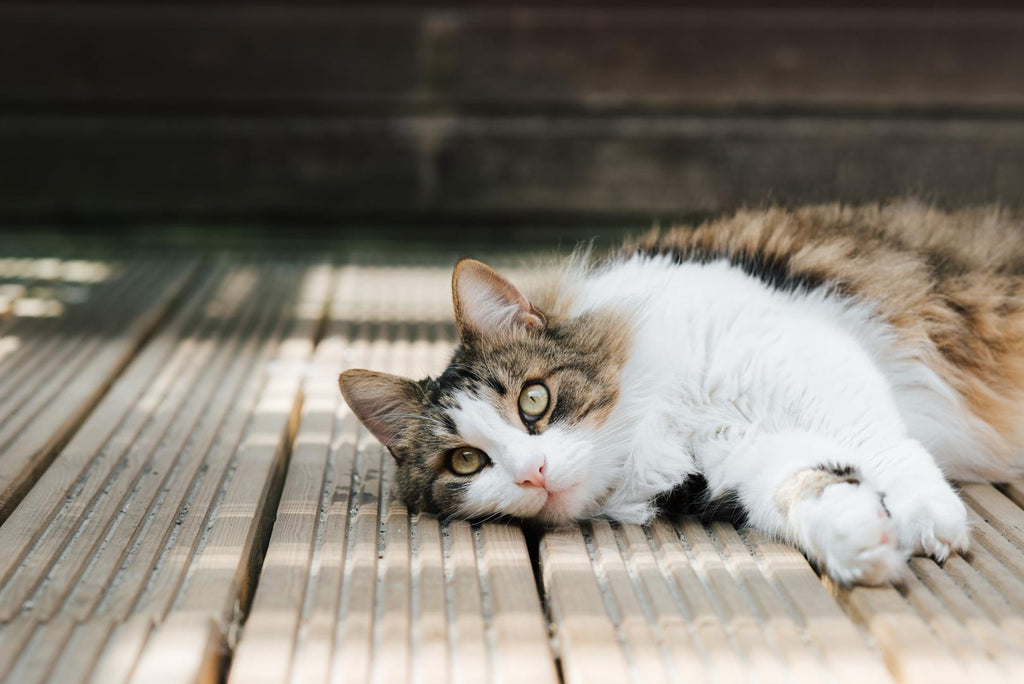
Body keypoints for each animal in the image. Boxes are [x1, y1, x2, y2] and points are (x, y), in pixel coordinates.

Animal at [337, 200, 1024, 585]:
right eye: (465, 461)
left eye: (534, 401)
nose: (533, 472)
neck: (660, 423)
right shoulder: (741, 464)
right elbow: (807, 488)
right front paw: (862, 543)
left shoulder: (803, 353)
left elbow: (883, 444)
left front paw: (925, 518)